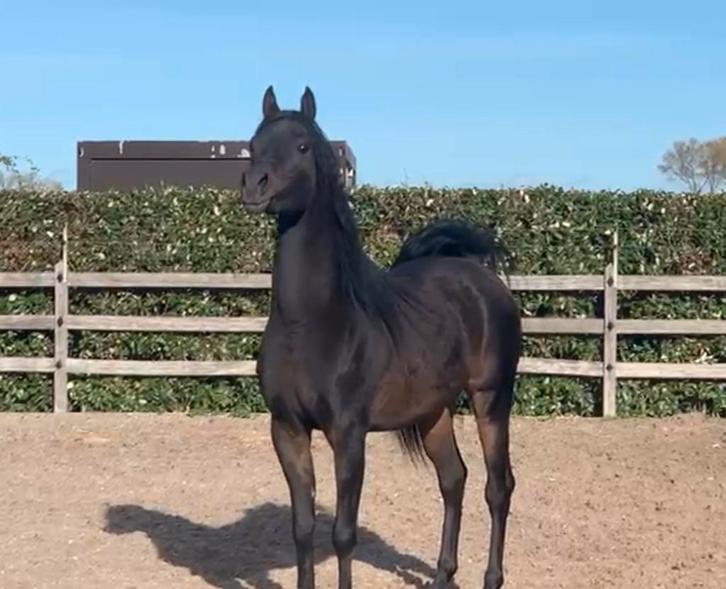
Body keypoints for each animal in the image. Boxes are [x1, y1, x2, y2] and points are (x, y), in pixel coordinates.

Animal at [240, 86, 522, 589]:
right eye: (253, 143)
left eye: (302, 146)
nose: (255, 185)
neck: (310, 323)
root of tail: (479, 278)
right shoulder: (287, 429)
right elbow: (302, 528)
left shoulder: (349, 434)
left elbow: (343, 533)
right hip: (433, 411)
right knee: (454, 479)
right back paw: (442, 575)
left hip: (492, 399)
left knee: (498, 486)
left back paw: (491, 578)